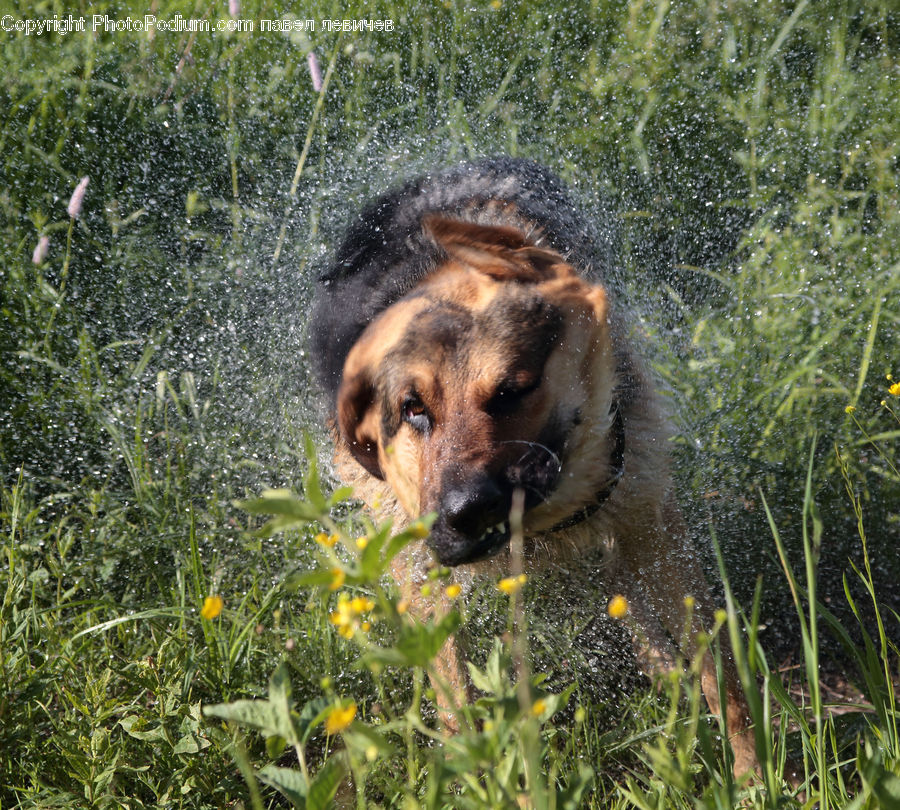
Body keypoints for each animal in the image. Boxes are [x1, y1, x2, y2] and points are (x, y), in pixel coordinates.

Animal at [310, 156, 760, 772]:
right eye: (413, 410)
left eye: (513, 389)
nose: (467, 512)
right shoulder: (423, 580)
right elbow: (457, 709)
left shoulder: (651, 527)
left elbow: (724, 678)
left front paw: (758, 776)